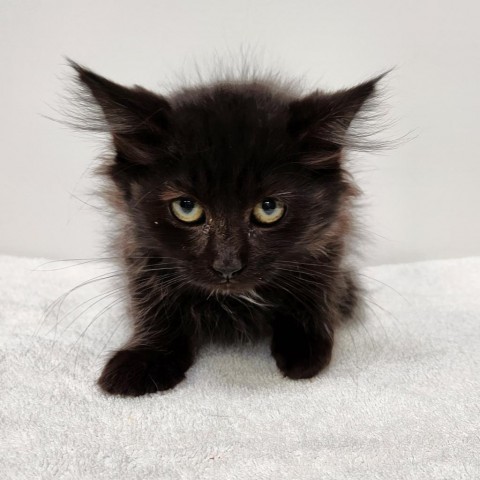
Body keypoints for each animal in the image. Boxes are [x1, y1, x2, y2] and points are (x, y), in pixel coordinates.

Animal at [71, 62, 384, 396]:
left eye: (269, 208)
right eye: (187, 207)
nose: (227, 265)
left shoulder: (325, 241)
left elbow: (316, 289)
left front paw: (305, 348)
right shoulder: (141, 248)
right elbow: (153, 303)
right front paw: (146, 358)